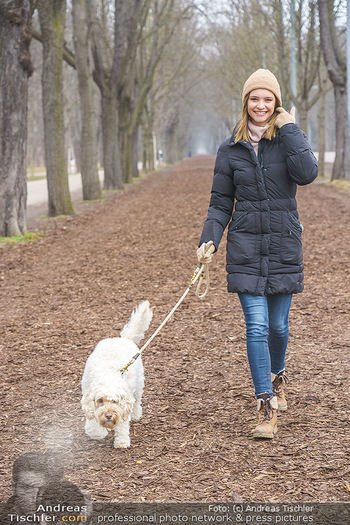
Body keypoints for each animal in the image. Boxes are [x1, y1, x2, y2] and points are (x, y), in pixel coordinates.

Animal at [82, 300, 154, 448]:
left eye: (115, 401)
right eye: (100, 400)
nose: (109, 415)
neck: (108, 373)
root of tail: (123, 339)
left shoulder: (123, 404)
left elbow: (122, 424)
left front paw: (122, 441)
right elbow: (93, 422)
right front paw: (98, 432)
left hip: (139, 383)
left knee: (137, 401)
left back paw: (136, 414)